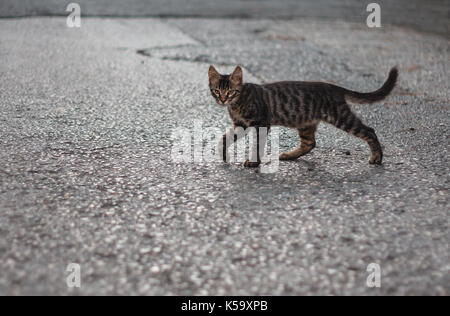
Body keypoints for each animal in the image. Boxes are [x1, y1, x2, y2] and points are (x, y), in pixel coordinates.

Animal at [208, 65, 398, 167]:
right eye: (217, 91)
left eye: (231, 92)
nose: (222, 99)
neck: (236, 103)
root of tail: (333, 87)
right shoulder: (240, 125)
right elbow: (224, 138)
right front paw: (224, 155)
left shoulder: (261, 123)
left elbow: (257, 145)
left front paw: (254, 162)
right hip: (305, 122)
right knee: (310, 143)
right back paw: (289, 155)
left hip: (341, 117)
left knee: (369, 130)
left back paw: (377, 157)